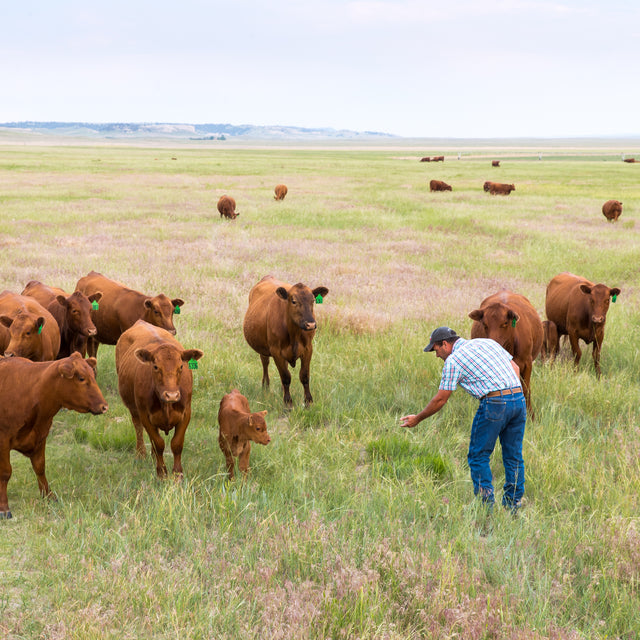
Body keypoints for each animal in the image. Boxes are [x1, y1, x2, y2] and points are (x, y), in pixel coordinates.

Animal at [0, 352, 107, 516]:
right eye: (81, 378)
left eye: (93, 375)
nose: (104, 406)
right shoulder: (3, 440)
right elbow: (6, 472)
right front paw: (4, 507)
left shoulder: (40, 437)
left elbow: (40, 467)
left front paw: (48, 496)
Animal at [115, 322, 202, 478]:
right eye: (155, 366)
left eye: (181, 366)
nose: (172, 395)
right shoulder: (144, 414)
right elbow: (158, 443)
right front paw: (161, 473)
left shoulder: (186, 413)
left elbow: (176, 444)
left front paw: (177, 474)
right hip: (134, 409)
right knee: (138, 427)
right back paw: (141, 454)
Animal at [241, 274, 328, 404]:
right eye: (293, 301)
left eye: (313, 300)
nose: (311, 324)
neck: (294, 334)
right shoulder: (276, 351)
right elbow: (286, 377)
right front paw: (288, 403)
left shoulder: (308, 348)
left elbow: (304, 376)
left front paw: (308, 402)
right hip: (263, 347)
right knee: (265, 363)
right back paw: (265, 387)